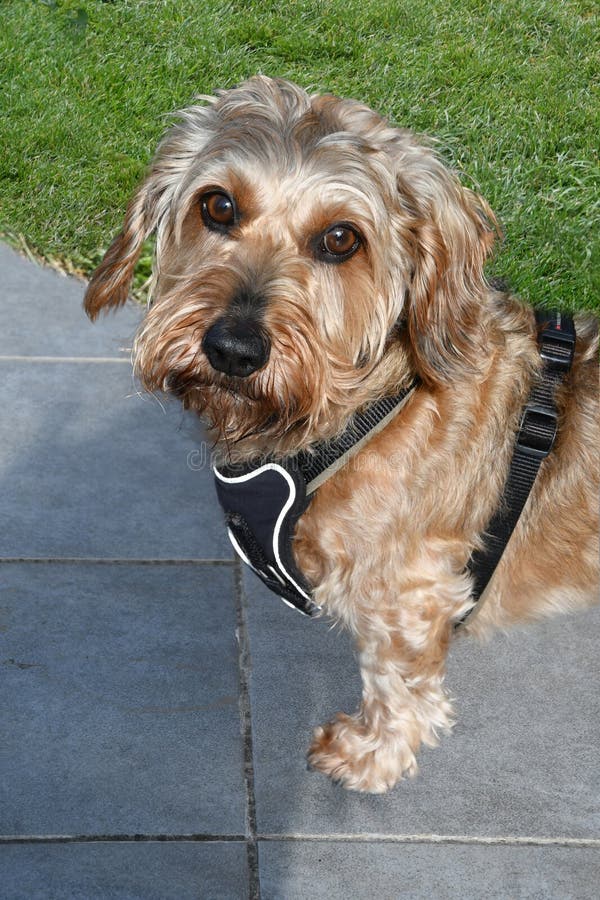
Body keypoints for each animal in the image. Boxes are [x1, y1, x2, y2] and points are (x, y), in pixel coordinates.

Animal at [85, 79, 600, 796]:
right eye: (218, 205)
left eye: (339, 238)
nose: (233, 349)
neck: (368, 405)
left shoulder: (410, 592)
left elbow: (397, 683)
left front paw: (370, 755)